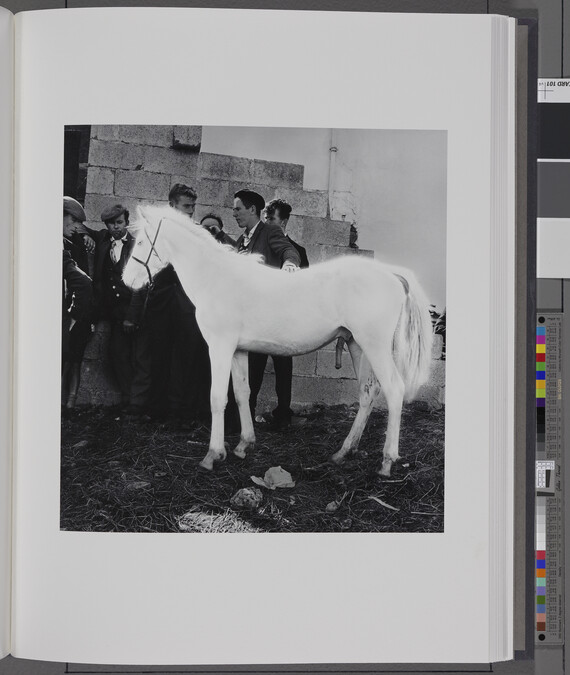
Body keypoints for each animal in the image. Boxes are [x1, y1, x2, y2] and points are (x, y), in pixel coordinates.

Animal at [123, 206, 430, 476]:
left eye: (142, 241)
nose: (127, 280)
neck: (217, 279)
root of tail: (392, 274)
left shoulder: (220, 347)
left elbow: (217, 398)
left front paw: (212, 455)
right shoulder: (238, 351)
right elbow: (242, 393)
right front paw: (243, 445)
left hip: (375, 347)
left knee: (394, 390)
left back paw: (387, 462)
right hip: (357, 346)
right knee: (368, 393)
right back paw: (343, 453)